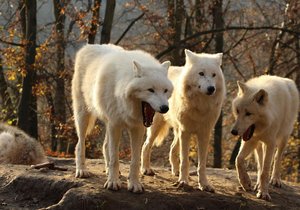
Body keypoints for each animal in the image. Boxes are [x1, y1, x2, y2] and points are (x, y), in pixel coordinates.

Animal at [71, 43, 172, 193]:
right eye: (150, 90)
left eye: (165, 90)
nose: (165, 108)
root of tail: (89, 46)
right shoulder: (115, 125)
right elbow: (115, 158)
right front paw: (113, 183)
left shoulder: (137, 128)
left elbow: (135, 161)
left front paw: (134, 184)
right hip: (84, 116)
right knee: (80, 144)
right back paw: (82, 170)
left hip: (107, 123)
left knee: (105, 145)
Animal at [141, 49, 225, 192]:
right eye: (201, 73)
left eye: (213, 75)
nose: (211, 88)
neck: (200, 105)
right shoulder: (186, 132)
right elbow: (185, 160)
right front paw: (184, 181)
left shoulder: (204, 133)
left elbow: (202, 164)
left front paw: (204, 184)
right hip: (156, 127)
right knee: (146, 146)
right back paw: (146, 169)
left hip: (178, 131)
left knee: (172, 148)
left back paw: (175, 171)